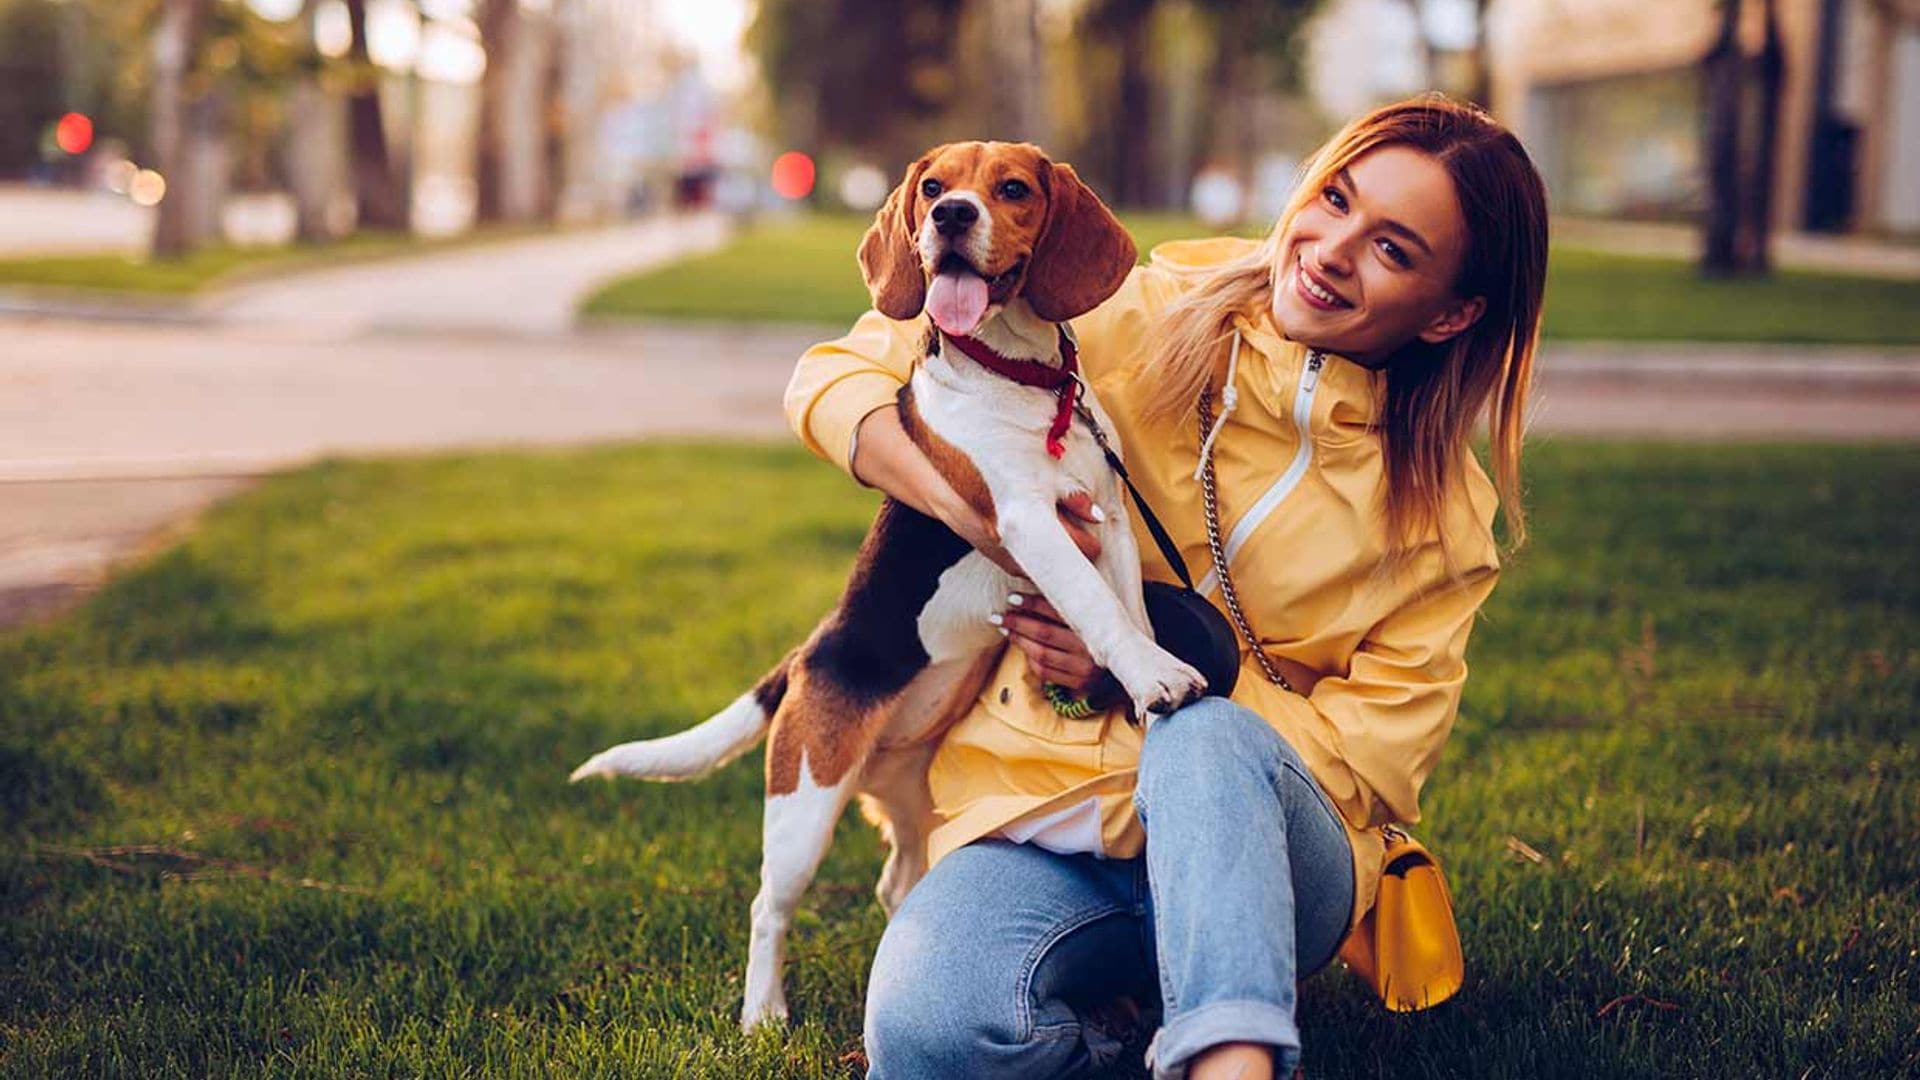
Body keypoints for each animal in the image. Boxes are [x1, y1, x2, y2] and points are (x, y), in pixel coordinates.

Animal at [564, 143, 1198, 1022]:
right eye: (932, 187)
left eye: (1013, 188)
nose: (951, 216)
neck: (1023, 381)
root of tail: (805, 657)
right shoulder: (1029, 524)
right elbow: (1098, 609)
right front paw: (1154, 678)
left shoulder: (1107, 517)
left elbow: (1128, 608)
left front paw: (1144, 681)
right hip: (805, 803)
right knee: (769, 908)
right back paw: (763, 1017)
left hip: (912, 802)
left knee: (897, 881)